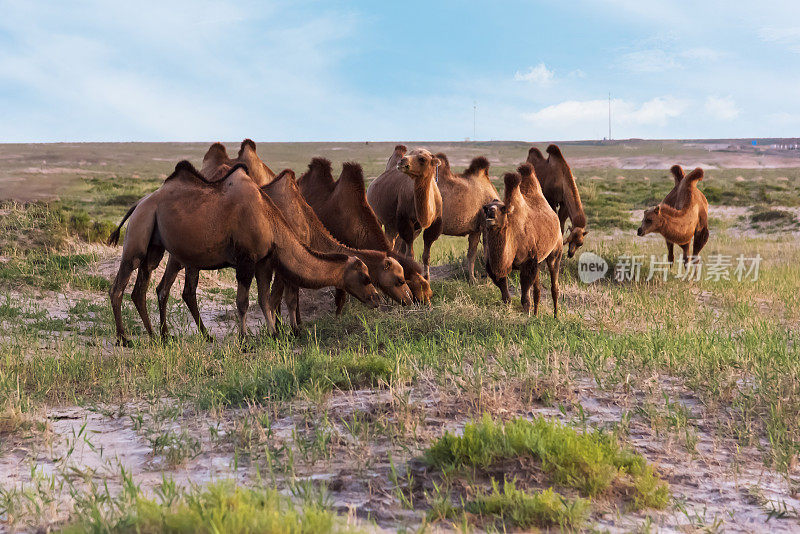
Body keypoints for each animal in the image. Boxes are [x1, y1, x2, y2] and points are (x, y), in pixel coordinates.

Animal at [108, 161, 380, 346]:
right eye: (366, 278)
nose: (376, 299)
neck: (272, 223)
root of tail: (139, 203)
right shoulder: (245, 261)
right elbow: (243, 301)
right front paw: (245, 340)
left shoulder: (263, 262)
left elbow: (265, 299)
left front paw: (273, 334)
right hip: (139, 233)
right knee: (120, 284)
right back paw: (124, 339)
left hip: (157, 247)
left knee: (145, 288)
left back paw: (160, 336)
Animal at [368, 147, 444, 280]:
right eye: (410, 153)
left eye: (422, 158)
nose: (402, 161)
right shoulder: (405, 218)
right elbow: (410, 254)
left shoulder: (434, 223)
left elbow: (426, 254)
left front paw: (426, 277)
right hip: (379, 217)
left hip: (394, 225)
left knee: (394, 243)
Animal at [434, 154, 496, 284]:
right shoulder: (485, 225)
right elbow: (486, 252)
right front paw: (488, 280)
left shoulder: (475, 229)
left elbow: (471, 254)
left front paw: (473, 280)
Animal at [482, 165, 564, 318]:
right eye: (486, 207)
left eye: (503, 208)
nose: (491, 212)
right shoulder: (496, 267)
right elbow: (506, 297)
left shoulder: (528, 262)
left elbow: (525, 298)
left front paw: (527, 317)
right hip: (539, 258)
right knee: (537, 290)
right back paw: (537, 315)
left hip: (556, 251)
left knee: (554, 285)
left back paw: (557, 317)